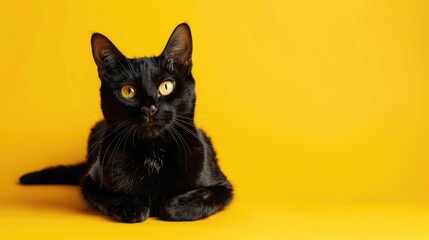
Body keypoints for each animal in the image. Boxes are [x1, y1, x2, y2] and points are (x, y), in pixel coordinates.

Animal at [19, 23, 232, 223]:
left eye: (166, 86)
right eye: (128, 91)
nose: (149, 109)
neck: (153, 153)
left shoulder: (223, 186)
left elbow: (206, 196)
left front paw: (172, 207)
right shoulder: (91, 182)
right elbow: (109, 197)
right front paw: (133, 207)